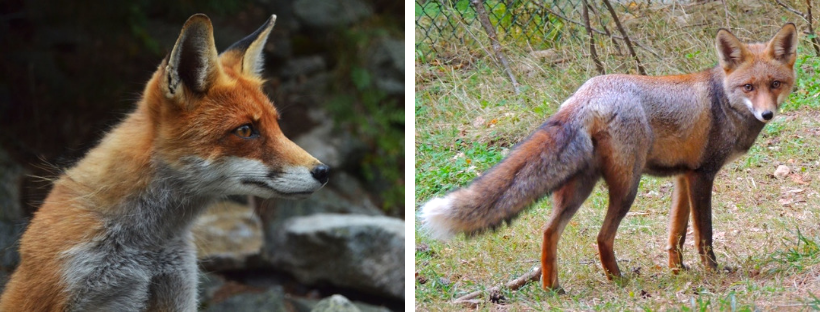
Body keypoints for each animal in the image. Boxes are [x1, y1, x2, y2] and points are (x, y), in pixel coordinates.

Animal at [420, 23, 796, 290]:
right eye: (749, 87)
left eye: (775, 84)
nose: (766, 114)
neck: (723, 102)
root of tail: (584, 94)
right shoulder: (702, 175)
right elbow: (705, 234)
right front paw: (712, 272)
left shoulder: (682, 177)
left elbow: (676, 233)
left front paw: (678, 271)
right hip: (627, 186)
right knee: (602, 236)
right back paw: (617, 280)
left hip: (578, 189)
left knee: (548, 231)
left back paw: (551, 287)